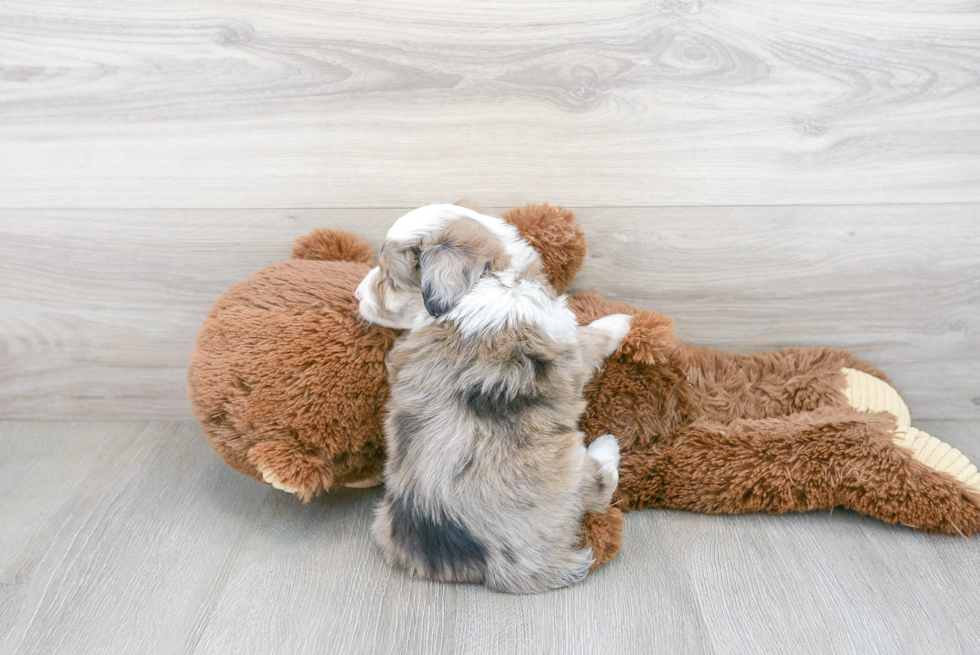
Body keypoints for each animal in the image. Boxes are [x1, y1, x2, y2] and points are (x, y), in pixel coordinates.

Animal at [356, 204, 632, 596]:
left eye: (391, 282)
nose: (356, 295)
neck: (493, 277)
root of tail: (510, 567)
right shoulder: (570, 344)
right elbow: (591, 337)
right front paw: (622, 321)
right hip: (569, 467)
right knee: (598, 488)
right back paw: (607, 445)